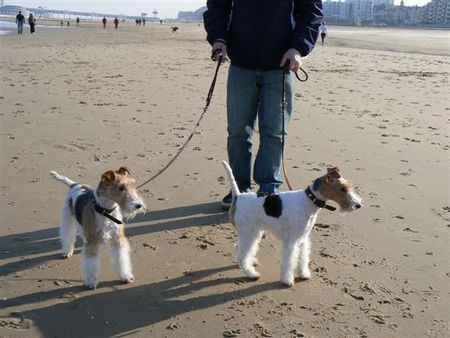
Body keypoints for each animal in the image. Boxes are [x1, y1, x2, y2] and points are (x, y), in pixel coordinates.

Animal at [221, 160, 362, 286]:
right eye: (342, 189)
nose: (358, 205)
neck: (309, 201)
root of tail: (238, 197)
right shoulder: (291, 241)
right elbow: (289, 262)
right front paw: (287, 280)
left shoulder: (303, 238)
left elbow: (303, 258)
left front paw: (304, 274)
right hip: (249, 232)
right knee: (242, 254)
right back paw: (252, 274)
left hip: (253, 232)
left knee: (239, 247)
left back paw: (252, 262)